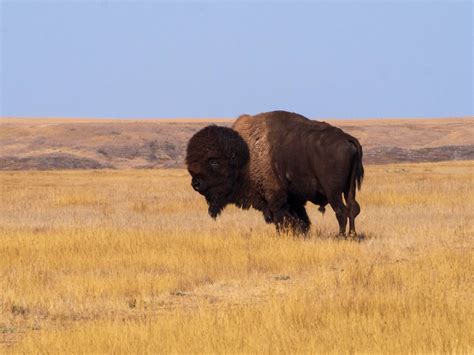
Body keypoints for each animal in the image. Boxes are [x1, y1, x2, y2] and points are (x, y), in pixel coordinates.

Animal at [185, 110, 362, 236]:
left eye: (214, 162)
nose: (196, 184)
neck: (247, 154)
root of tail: (348, 139)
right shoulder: (292, 199)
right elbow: (300, 219)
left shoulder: (275, 198)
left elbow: (282, 217)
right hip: (349, 188)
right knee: (352, 208)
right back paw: (352, 235)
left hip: (333, 192)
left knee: (341, 211)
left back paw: (341, 236)